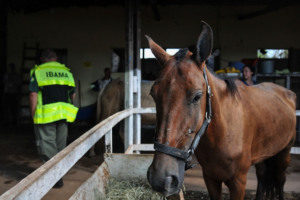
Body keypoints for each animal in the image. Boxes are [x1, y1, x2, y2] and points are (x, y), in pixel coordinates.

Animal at [146, 21, 296, 199]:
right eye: (153, 94)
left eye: (197, 96)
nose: (161, 179)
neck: (222, 133)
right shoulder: (210, 178)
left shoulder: (238, 182)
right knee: (262, 176)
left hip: (284, 153)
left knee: (280, 179)